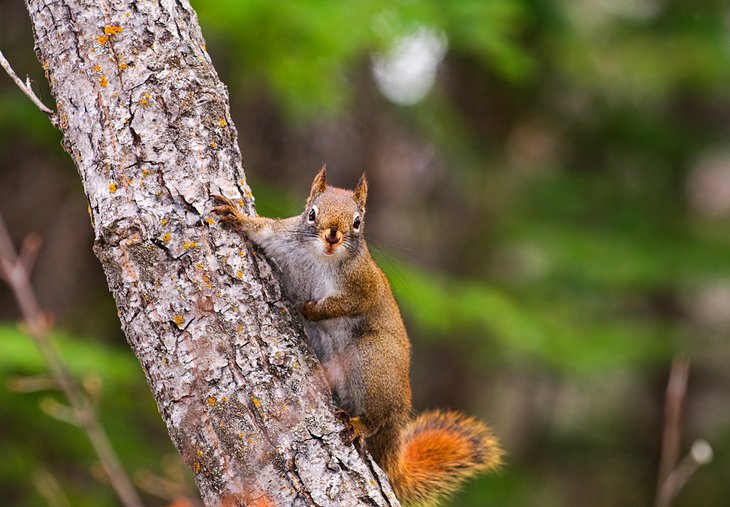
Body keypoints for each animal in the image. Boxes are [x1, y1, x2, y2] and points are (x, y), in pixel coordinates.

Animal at [210, 169, 500, 506]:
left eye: (358, 221)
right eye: (312, 214)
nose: (333, 236)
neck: (321, 258)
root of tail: (400, 411)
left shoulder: (365, 284)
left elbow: (346, 304)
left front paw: (309, 309)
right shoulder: (282, 237)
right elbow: (262, 230)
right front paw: (237, 215)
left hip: (371, 358)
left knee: (375, 419)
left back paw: (359, 424)